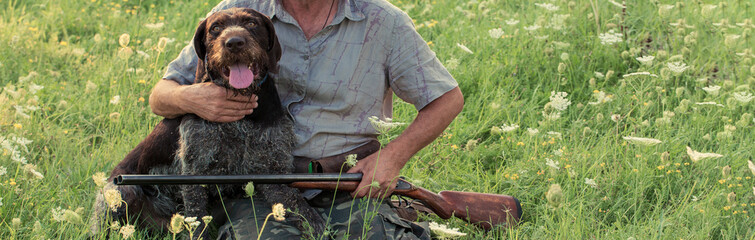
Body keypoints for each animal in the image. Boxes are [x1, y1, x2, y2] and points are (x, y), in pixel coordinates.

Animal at [91, 7, 324, 240]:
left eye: (251, 23)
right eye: (215, 28)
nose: (234, 42)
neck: (241, 117)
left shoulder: (271, 170)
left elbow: (298, 204)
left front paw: (317, 225)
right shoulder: (194, 170)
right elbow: (197, 218)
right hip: (119, 193)